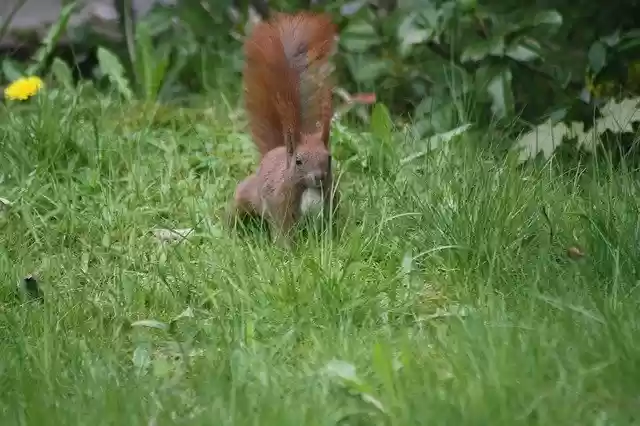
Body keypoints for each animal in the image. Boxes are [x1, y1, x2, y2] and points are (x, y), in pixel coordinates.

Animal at [228, 11, 339, 245]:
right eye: (298, 161)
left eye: (329, 157)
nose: (319, 176)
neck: (307, 189)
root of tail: (273, 151)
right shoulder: (280, 204)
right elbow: (283, 230)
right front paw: (286, 249)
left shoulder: (329, 199)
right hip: (249, 193)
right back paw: (230, 229)